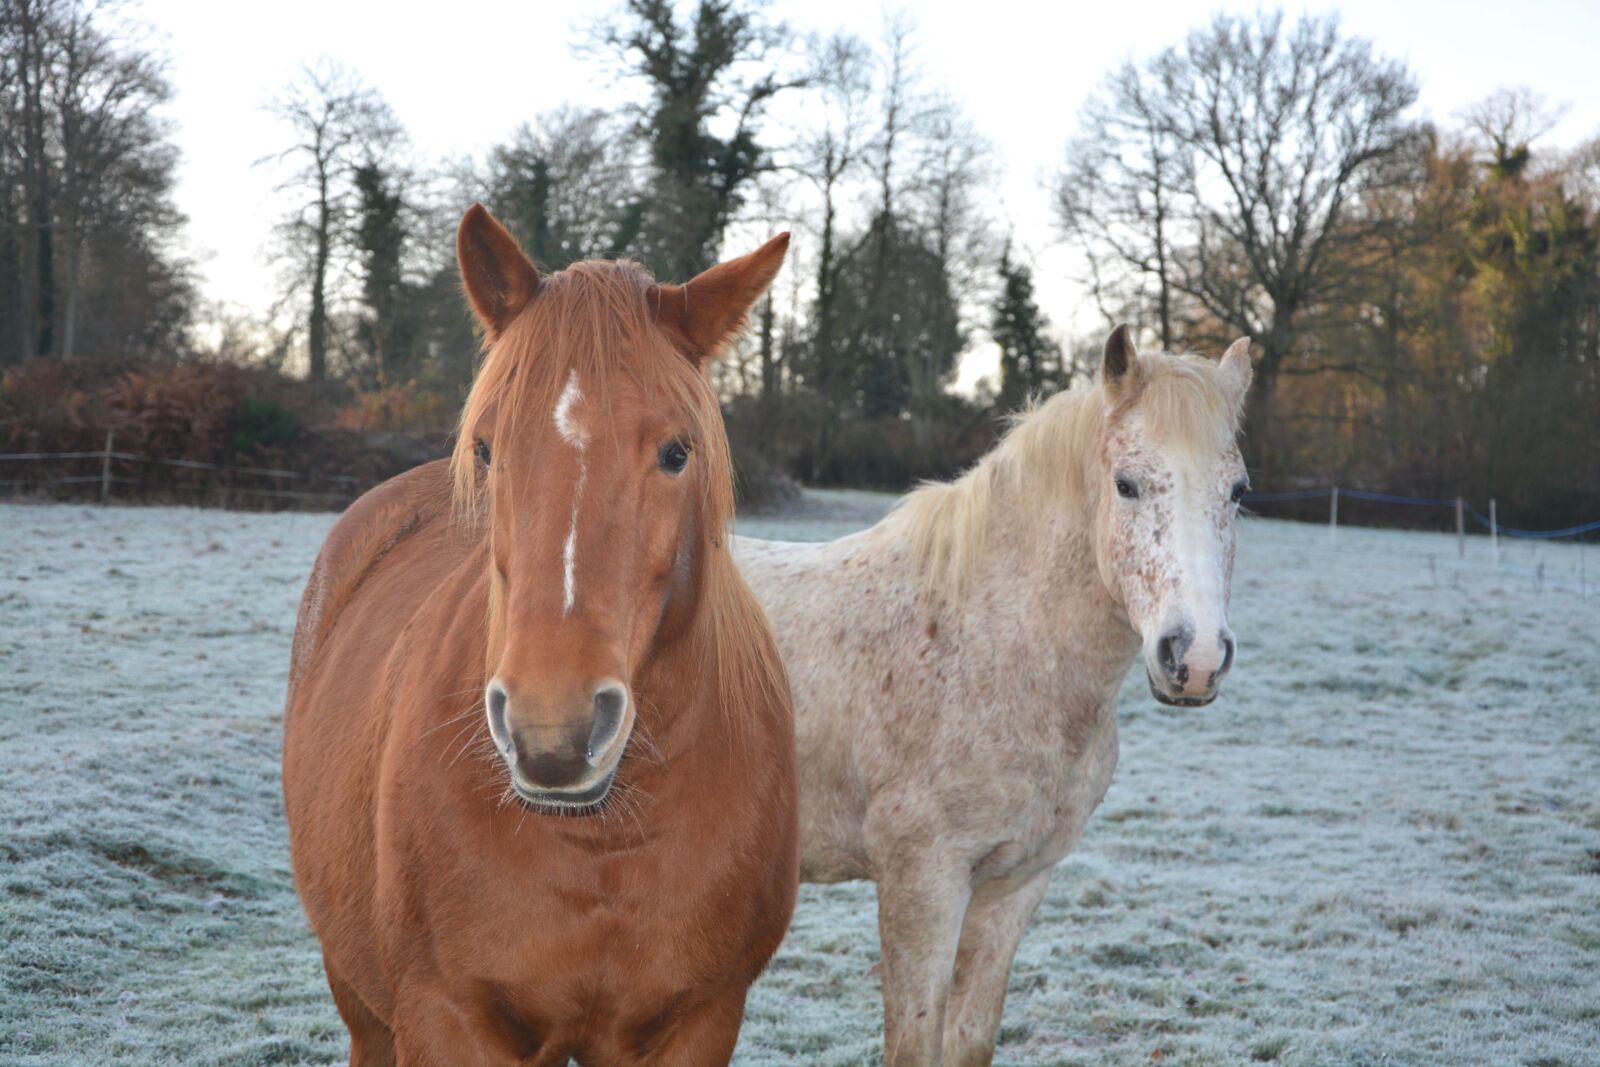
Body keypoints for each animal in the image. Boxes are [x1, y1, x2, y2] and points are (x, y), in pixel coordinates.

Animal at [282, 204, 798, 1066]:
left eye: (677, 451)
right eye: (488, 447)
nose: (552, 730)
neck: (603, 844)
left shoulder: (701, 1019)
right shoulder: (444, 1018)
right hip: (363, 1004)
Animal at [735, 327, 1254, 1066]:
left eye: (1238, 490)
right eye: (1125, 485)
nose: (1197, 657)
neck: (984, 640)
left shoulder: (1015, 885)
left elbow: (970, 1039)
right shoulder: (924, 884)